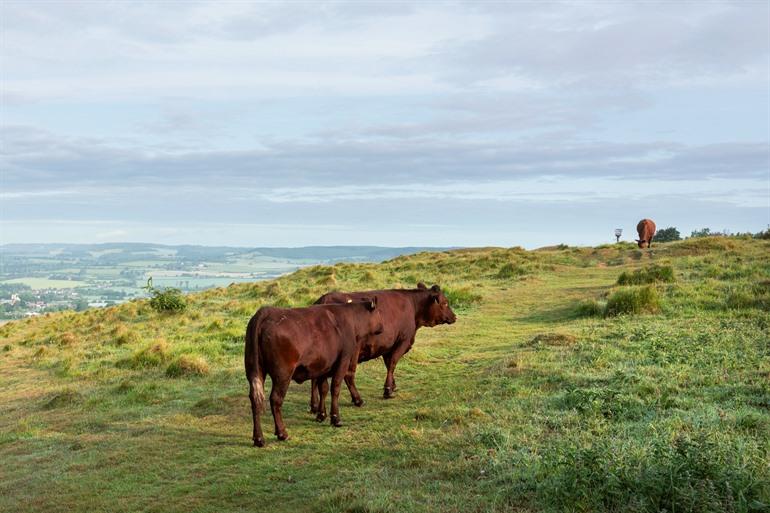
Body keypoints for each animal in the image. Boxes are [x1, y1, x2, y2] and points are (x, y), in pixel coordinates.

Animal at [244, 298, 383, 447]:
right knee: (275, 400)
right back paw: (282, 433)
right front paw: (335, 418)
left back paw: (258, 438)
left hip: (255, 371)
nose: (382, 327)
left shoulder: (323, 366)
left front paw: (321, 415)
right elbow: (335, 388)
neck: (350, 319)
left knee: (255, 400)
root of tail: (266, 311)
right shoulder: (343, 360)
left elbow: (323, 389)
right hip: (283, 374)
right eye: (378, 312)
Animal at [310, 283, 457, 411]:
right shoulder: (402, 340)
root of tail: (324, 299)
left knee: (314, 378)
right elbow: (392, 363)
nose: (454, 317)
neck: (412, 305)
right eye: (445, 303)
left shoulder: (388, 346)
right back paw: (358, 399)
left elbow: (388, 365)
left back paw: (314, 405)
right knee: (348, 375)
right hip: (351, 353)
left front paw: (393, 385)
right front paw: (388, 390)